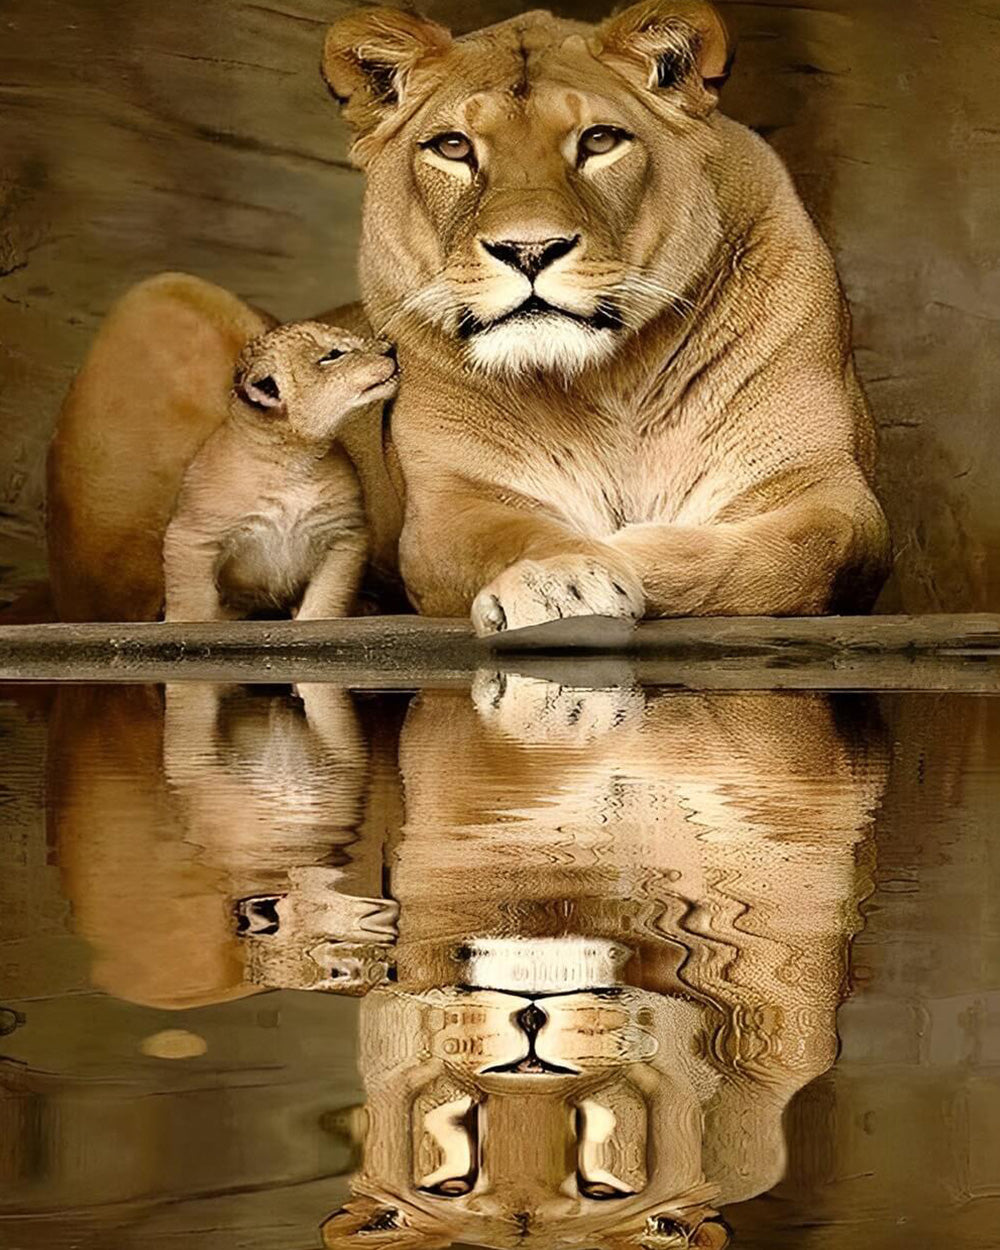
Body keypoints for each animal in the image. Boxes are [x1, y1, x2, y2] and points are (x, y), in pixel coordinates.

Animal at [46, 1, 889, 628]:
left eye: (600, 140)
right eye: (453, 147)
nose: (529, 249)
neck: (611, 383)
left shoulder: (830, 489)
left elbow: (797, 554)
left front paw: (623, 556)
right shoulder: (450, 507)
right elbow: (510, 536)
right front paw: (561, 579)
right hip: (161, 298)